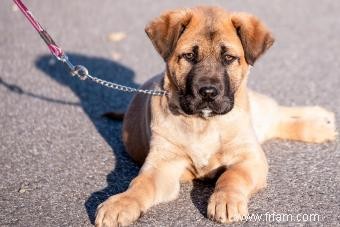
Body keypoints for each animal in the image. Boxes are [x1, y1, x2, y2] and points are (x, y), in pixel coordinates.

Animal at [94, 6, 336, 226]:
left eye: (228, 57)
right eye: (189, 56)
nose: (208, 92)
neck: (204, 122)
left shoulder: (249, 157)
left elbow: (232, 177)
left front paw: (226, 201)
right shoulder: (162, 166)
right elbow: (140, 184)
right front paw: (121, 204)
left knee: (276, 112)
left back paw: (321, 122)